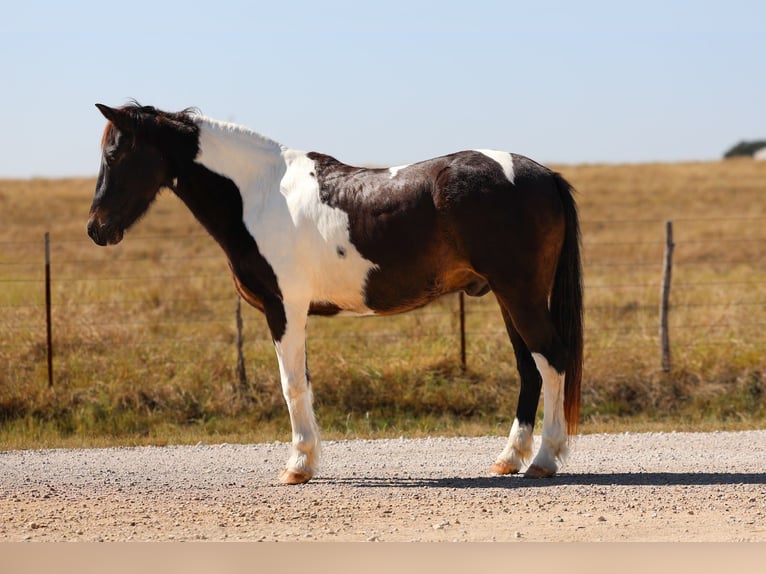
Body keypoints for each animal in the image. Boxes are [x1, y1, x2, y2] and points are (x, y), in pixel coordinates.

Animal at [87, 102, 583, 485]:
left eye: (115, 152)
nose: (96, 228)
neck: (259, 194)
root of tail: (544, 174)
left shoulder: (284, 309)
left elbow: (291, 385)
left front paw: (298, 466)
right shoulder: (292, 313)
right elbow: (303, 382)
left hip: (520, 294)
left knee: (552, 360)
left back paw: (543, 460)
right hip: (508, 296)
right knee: (530, 369)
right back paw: (510, 459)